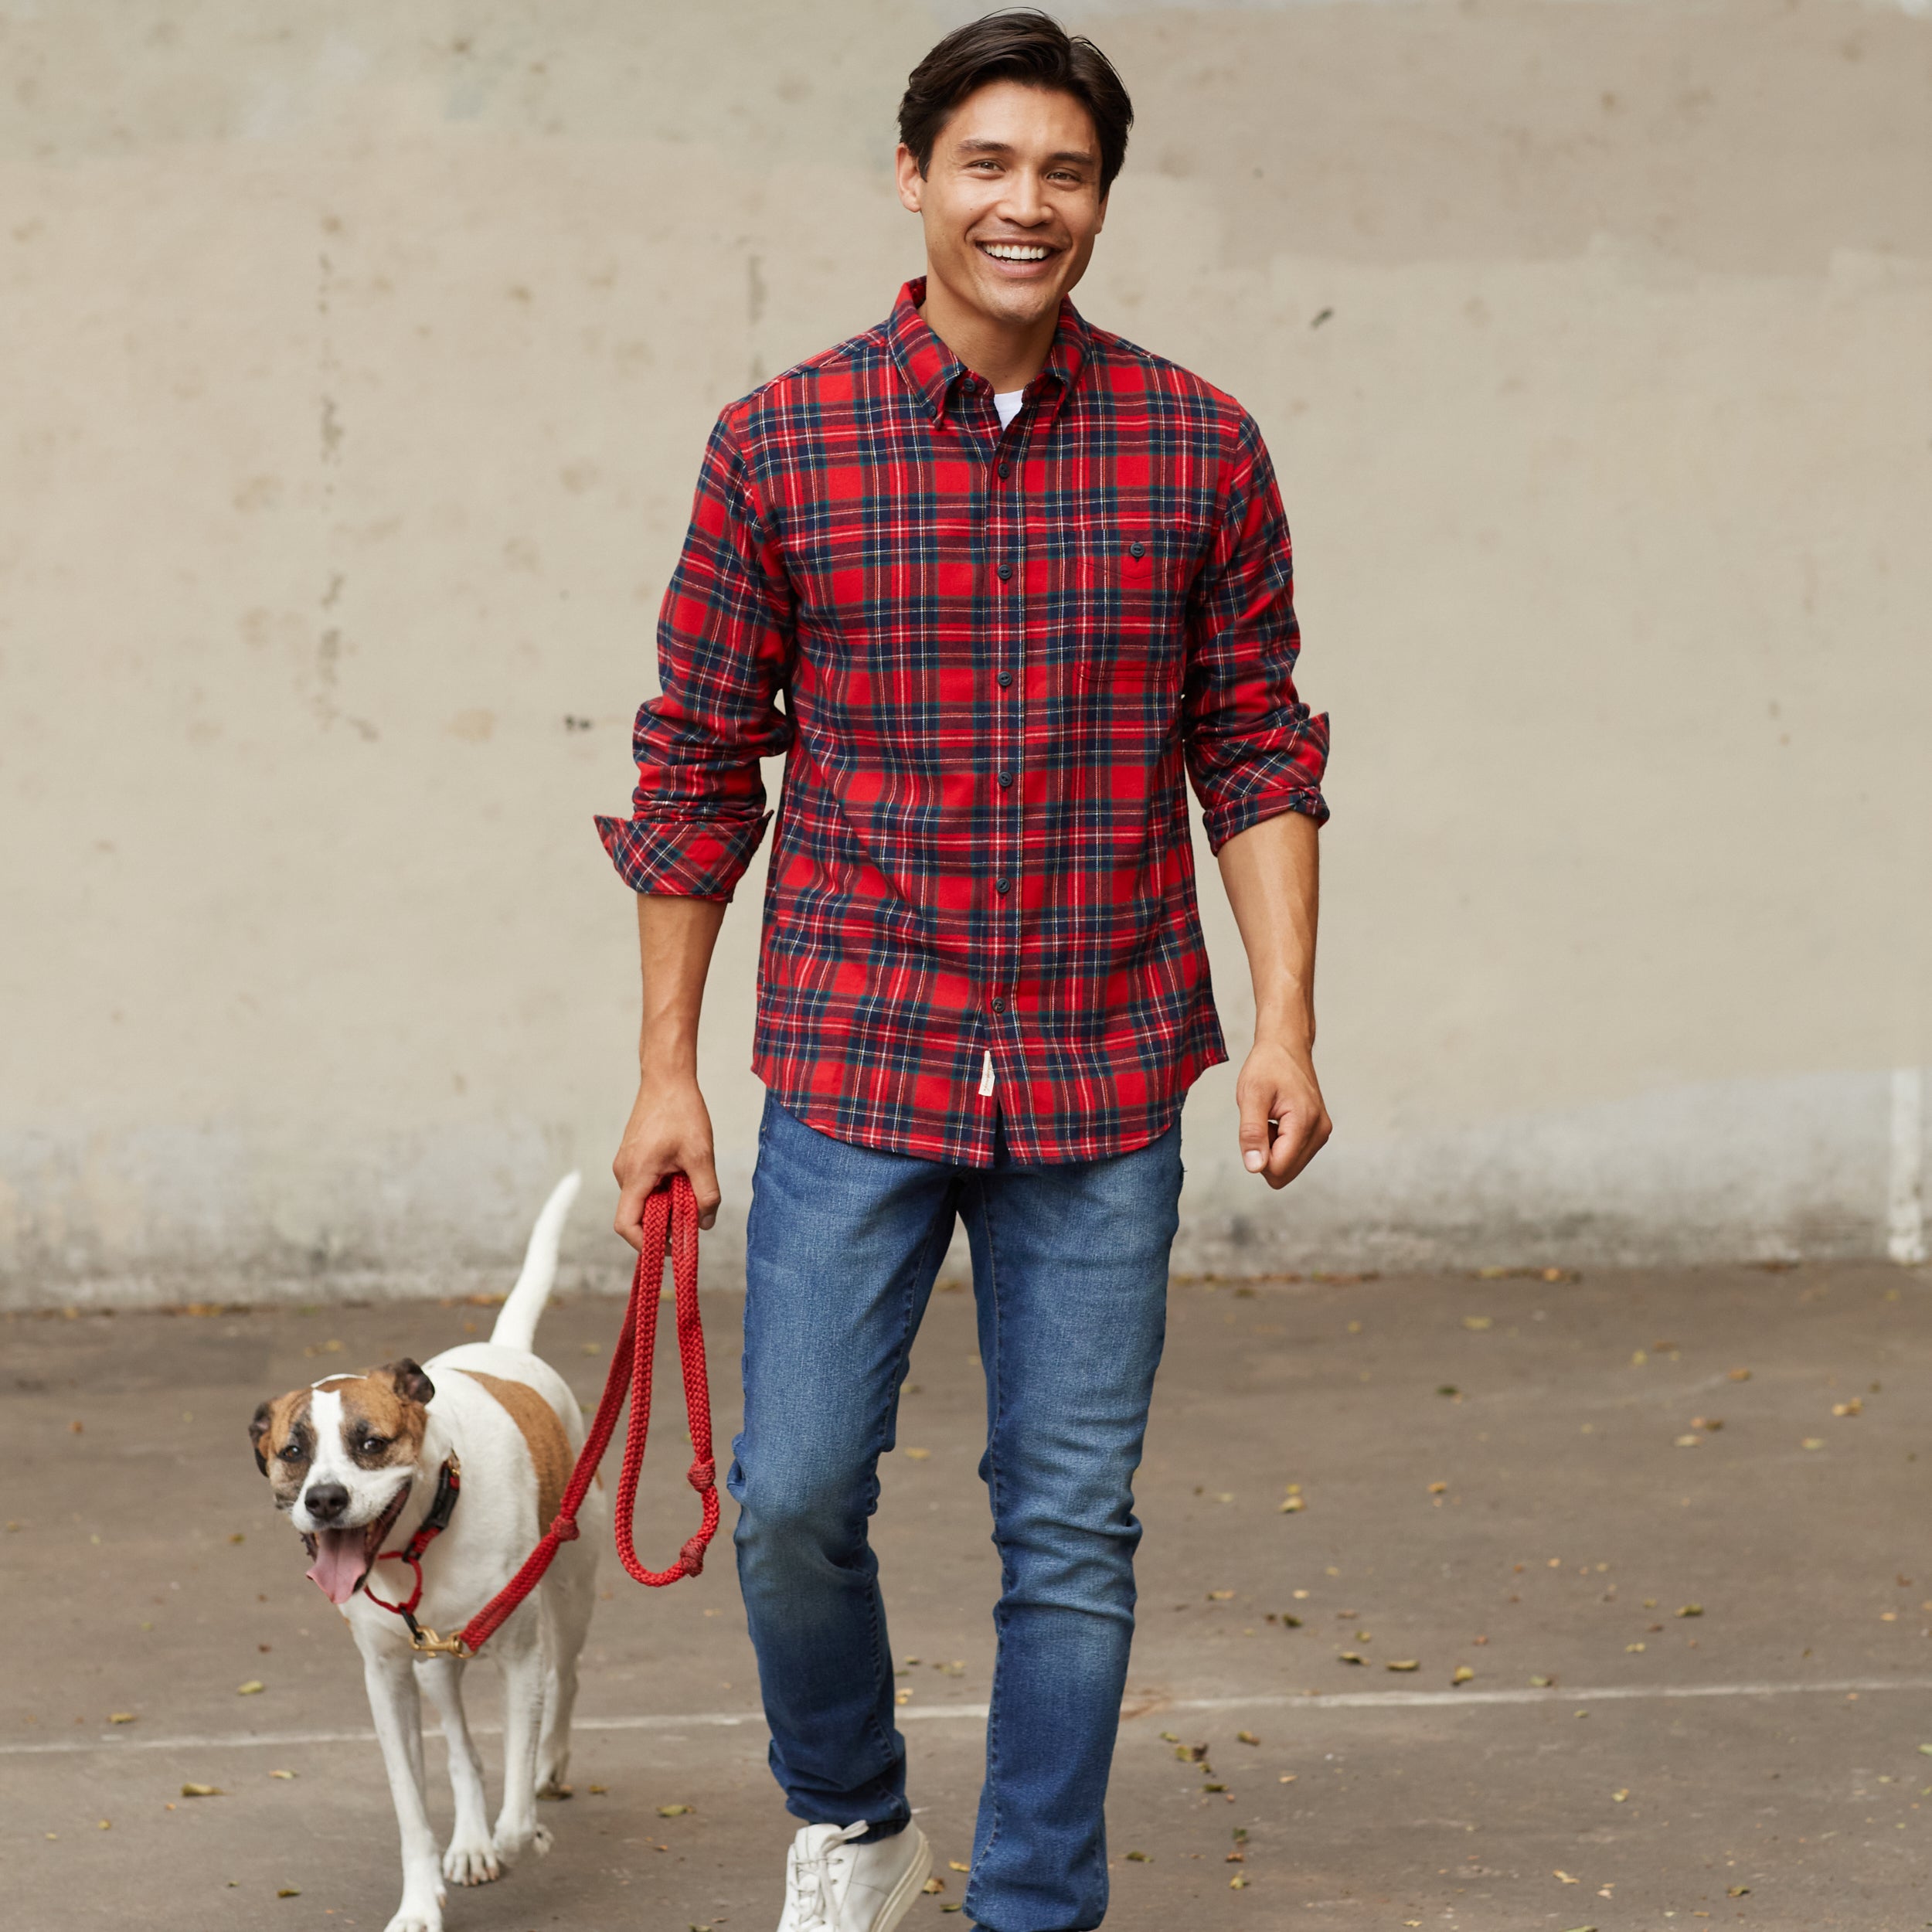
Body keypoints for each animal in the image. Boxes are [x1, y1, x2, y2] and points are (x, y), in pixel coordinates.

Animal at [249, 1167, 607, 1932]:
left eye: (370, 1442)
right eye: (292, 1452)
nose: (325, 1500)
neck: (418, 1540)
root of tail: (503, 1350)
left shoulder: (519, 1655)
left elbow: (517, 1800)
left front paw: (522, 1830)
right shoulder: (386, 1678)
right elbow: (414, 1810)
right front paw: (421, 1900)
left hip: (571, 1593)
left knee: (564, 1681)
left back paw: (546, 1770)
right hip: (437, 1659)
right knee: (463, 1749)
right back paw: (470, 1839)